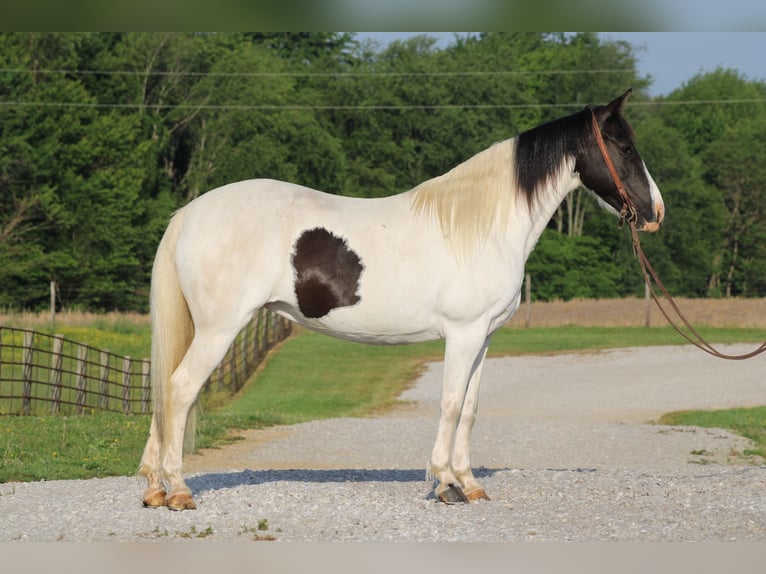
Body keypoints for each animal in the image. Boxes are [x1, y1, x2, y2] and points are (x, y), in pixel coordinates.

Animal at [139, 89, 665, 510]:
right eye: (625, 147)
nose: (655, 212)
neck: (482, 224)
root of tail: (189, 213)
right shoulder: (463, 333)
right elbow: (450, 404)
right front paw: (446, 484)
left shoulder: (484, 337)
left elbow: (470, 408)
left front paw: (470, 484)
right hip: (219, 328)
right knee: (180, 388)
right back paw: (179, 491)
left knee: (165, 391)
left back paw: (155, 489)